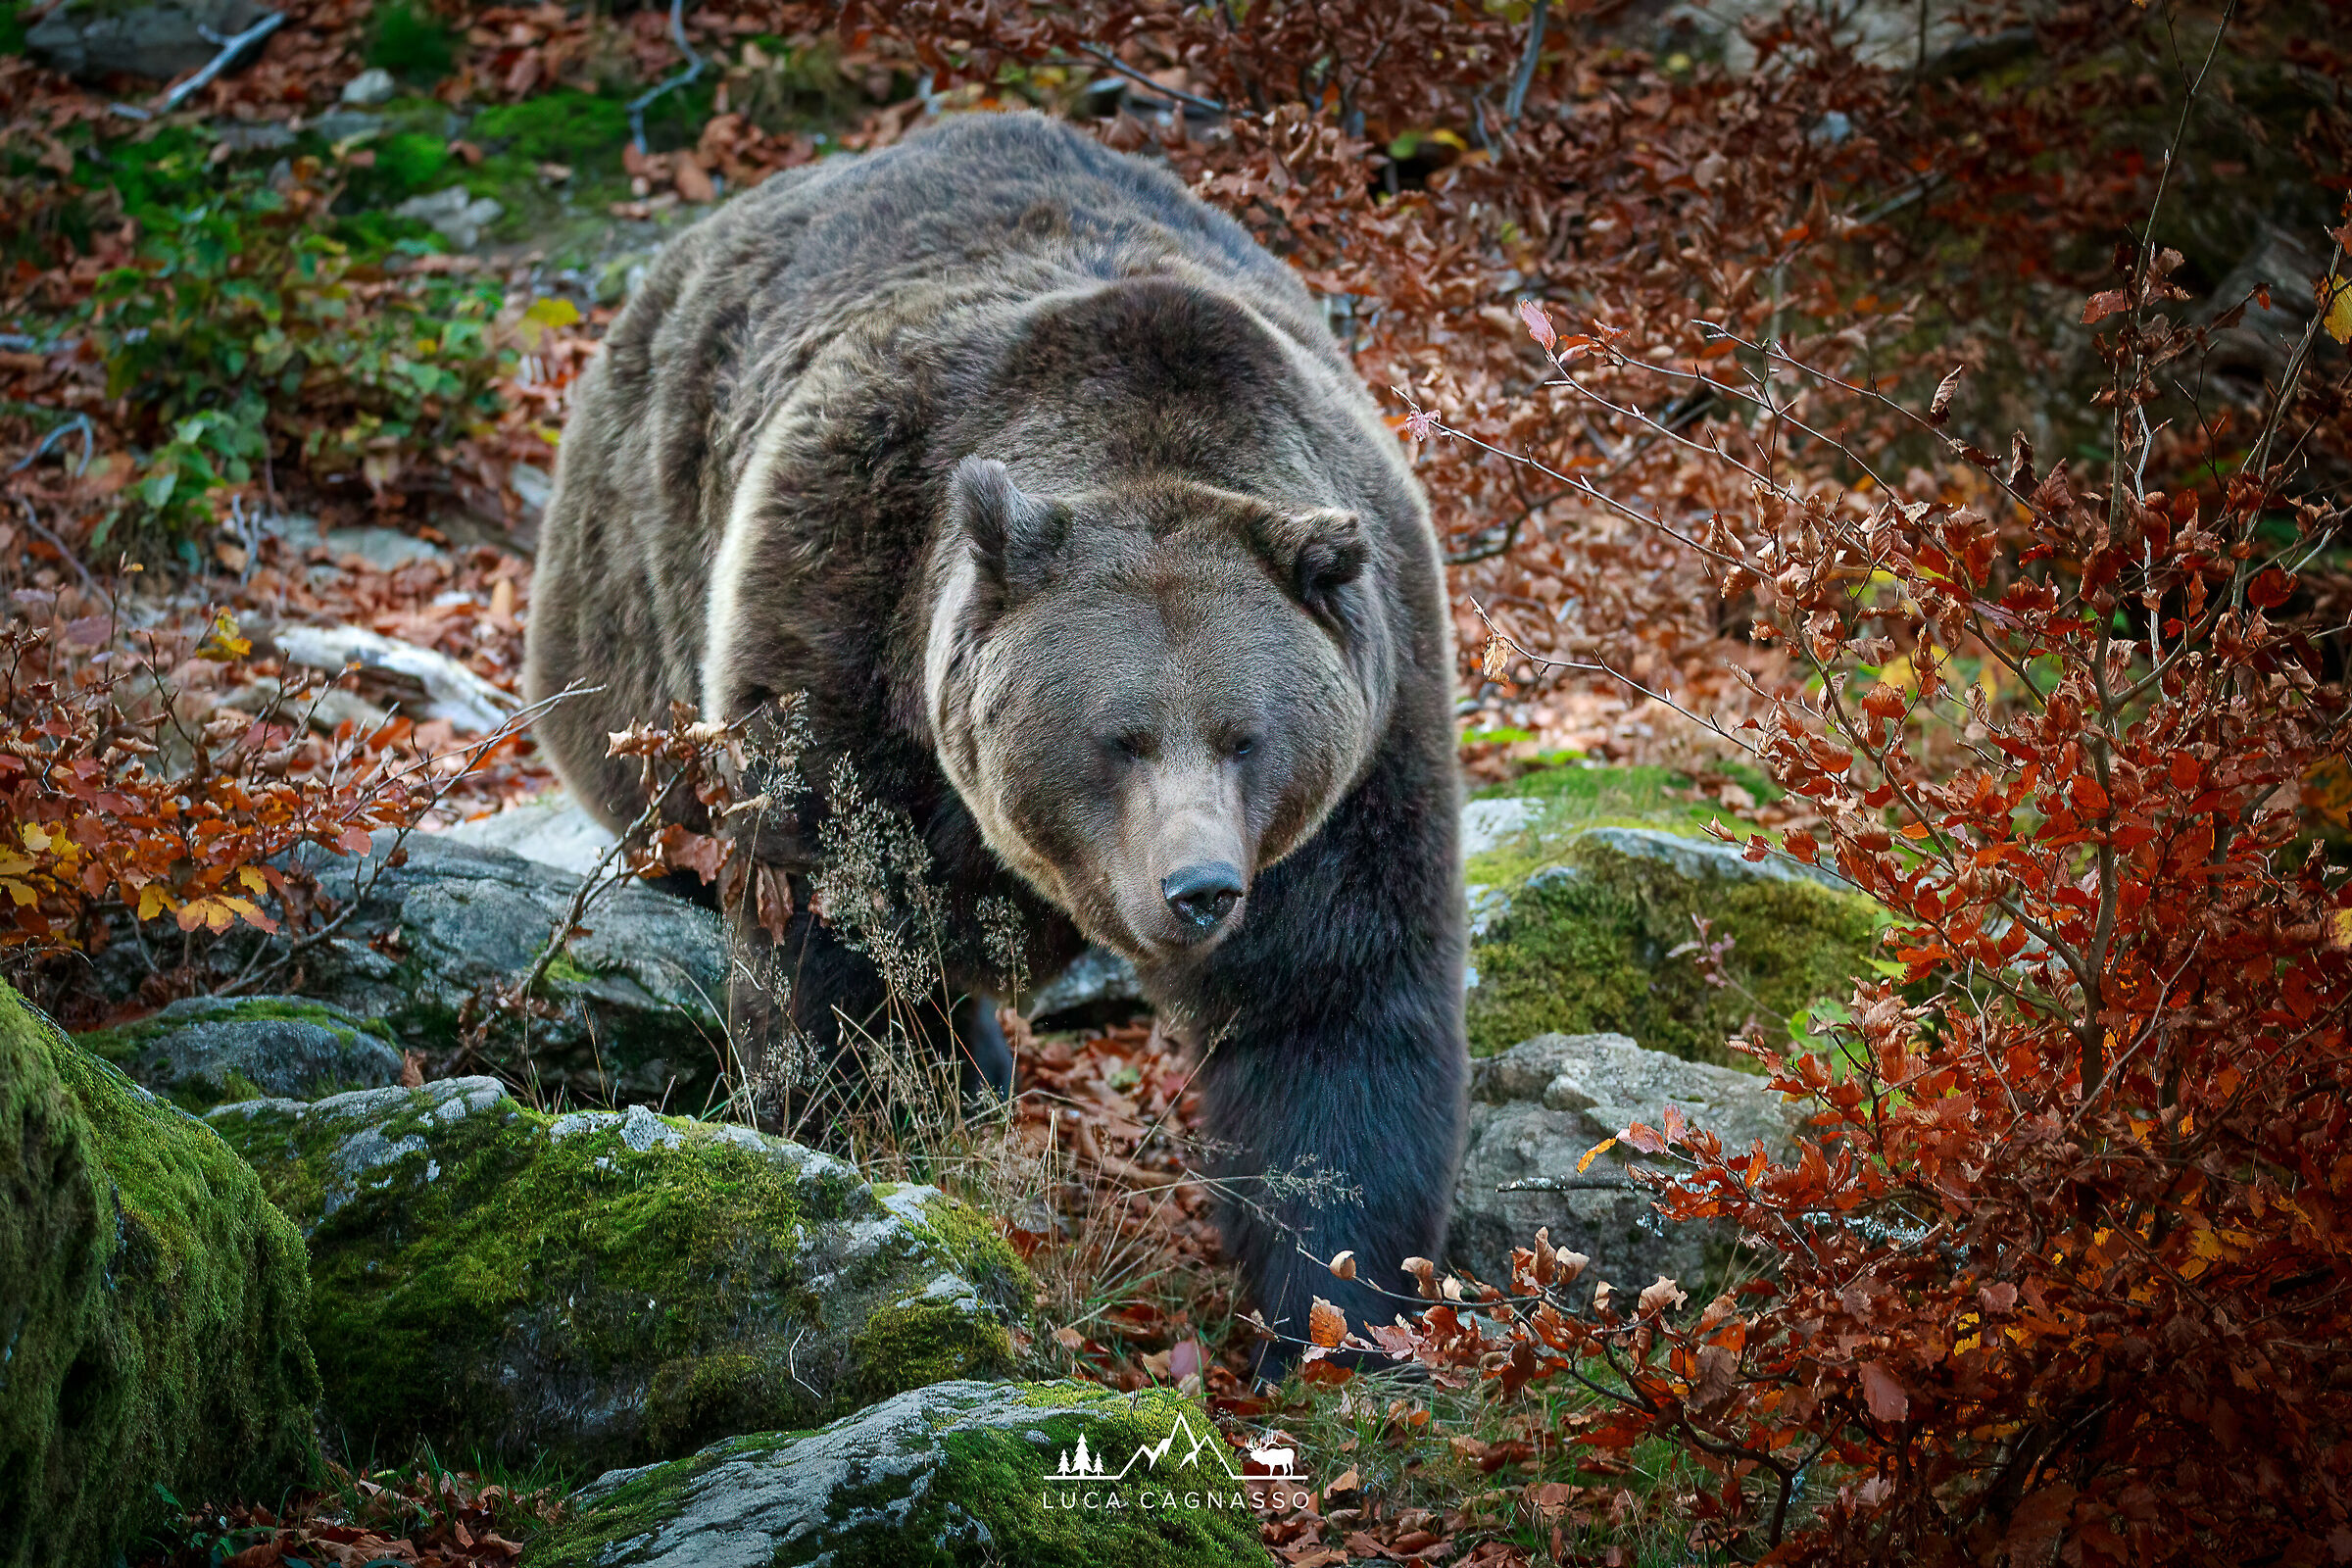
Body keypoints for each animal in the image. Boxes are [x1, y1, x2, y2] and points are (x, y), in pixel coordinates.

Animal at [524, 111, 1467, 1356]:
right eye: (1120, 736)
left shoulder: (1368, 734)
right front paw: (855, 1143)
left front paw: (1338, 1320)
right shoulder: (850, 617)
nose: (1200, 887)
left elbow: (1335, 1007)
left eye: (1245, 736)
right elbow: (834, 927)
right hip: (639, 590)